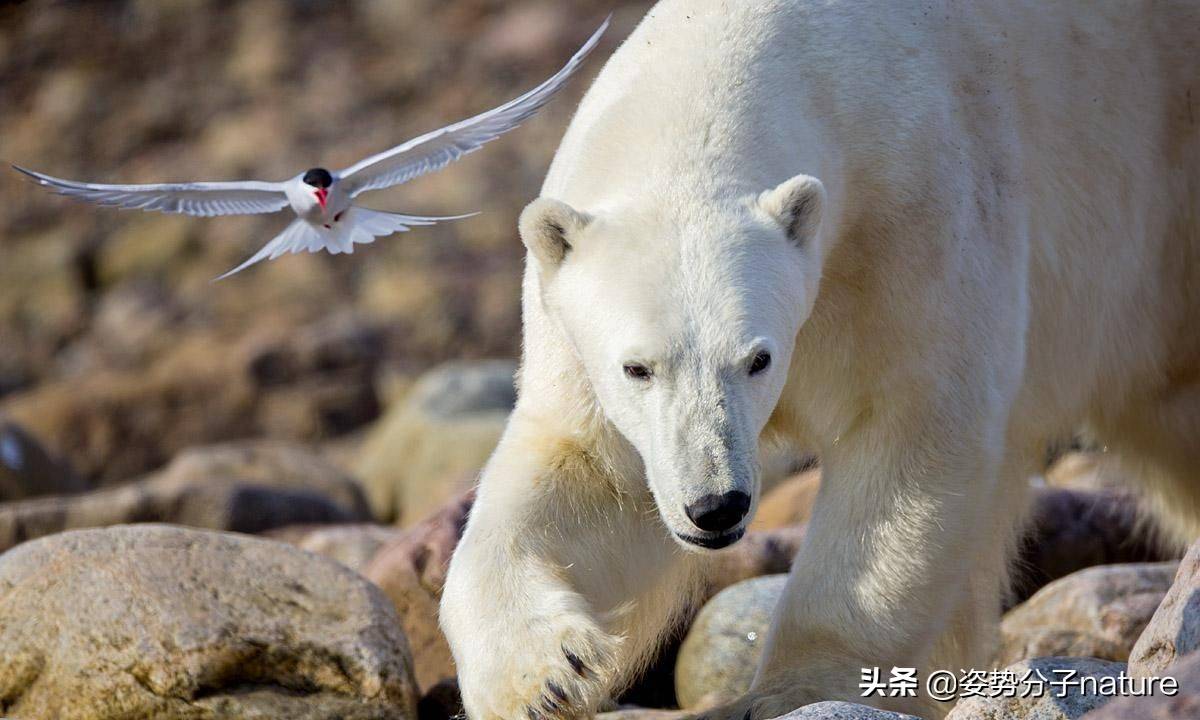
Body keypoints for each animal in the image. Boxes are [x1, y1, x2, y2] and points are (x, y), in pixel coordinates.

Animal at [441, 2, 1200, 715]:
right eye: (637, 368)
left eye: (758, 359)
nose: (715, 506)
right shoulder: (577, 347)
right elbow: (590, 478)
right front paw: (548, 675)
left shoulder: (911, 222)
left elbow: (911, 435)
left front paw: (792, 690)